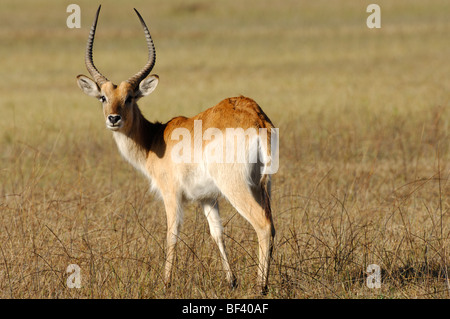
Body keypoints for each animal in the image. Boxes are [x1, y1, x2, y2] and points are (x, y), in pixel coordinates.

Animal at [75, 5, 276, 296]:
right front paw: (231, 281)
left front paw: (165, 283)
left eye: (130, 97)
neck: (154, 139)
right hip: (265, 184)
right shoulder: (207, 197)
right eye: (103, 97)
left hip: (236, 186)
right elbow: (217, 232)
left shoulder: (171, 195)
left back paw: (261, 287)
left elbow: (171, 234)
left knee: (263, 225)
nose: (113, 118)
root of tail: (256, 117)